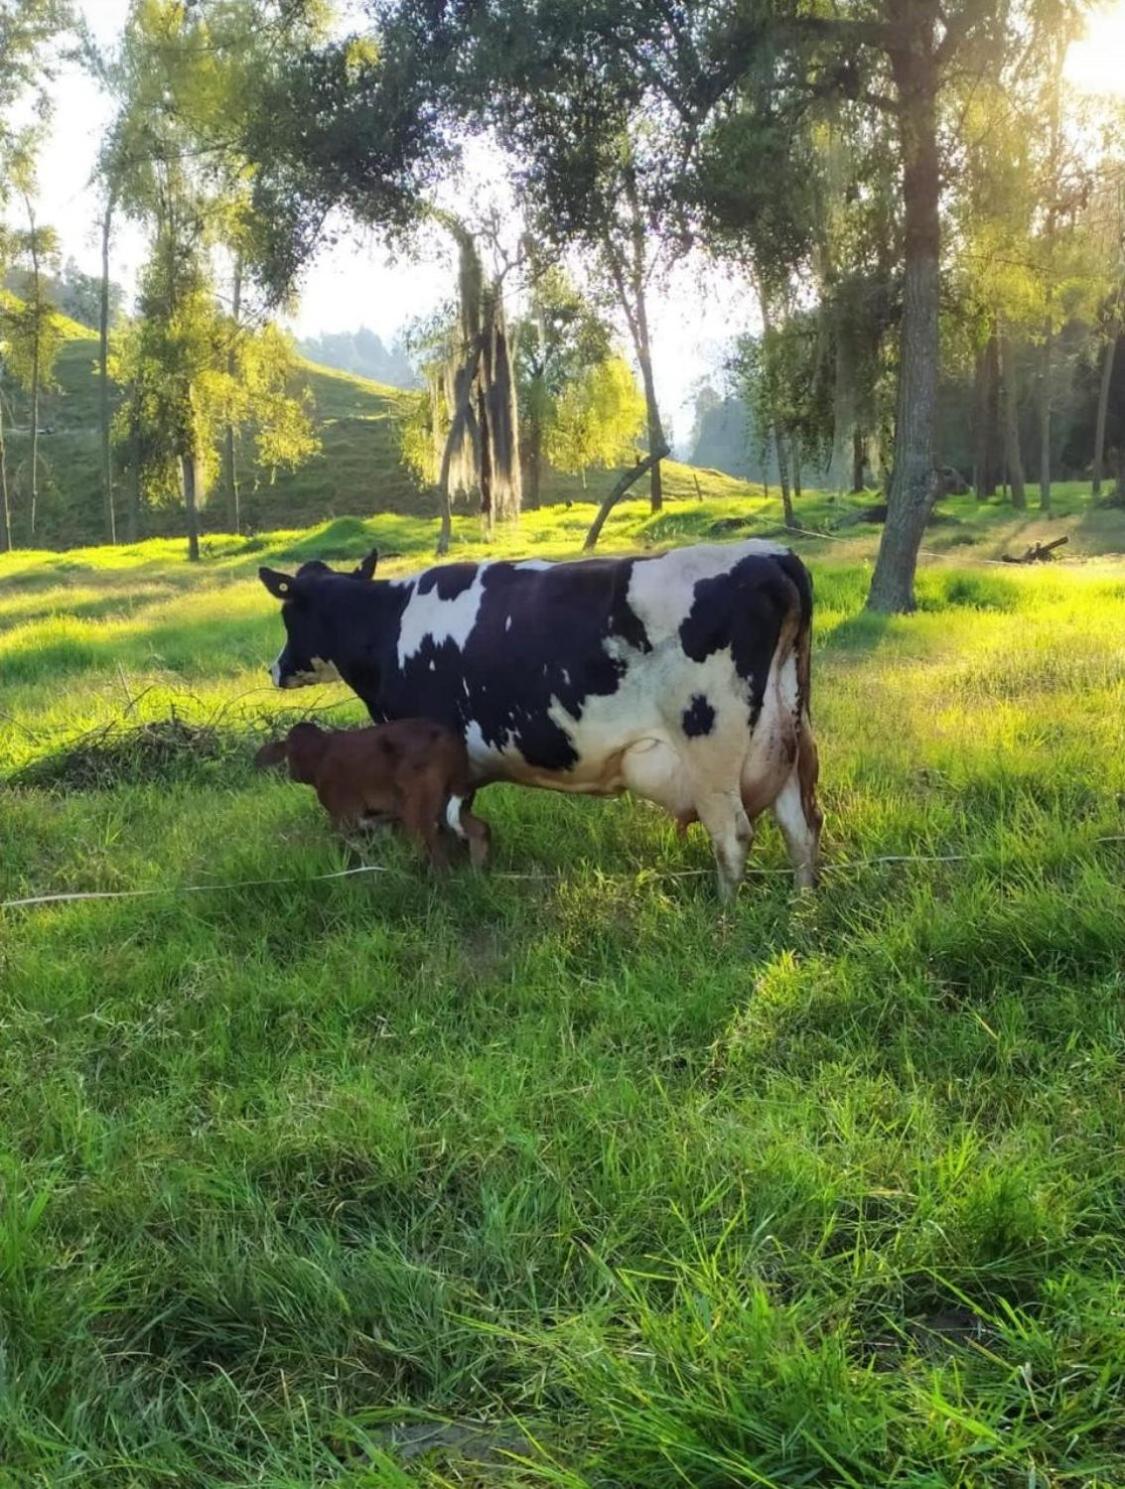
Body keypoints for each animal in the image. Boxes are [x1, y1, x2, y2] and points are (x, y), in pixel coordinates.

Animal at [257, 714, 491, 869]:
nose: (291, 773)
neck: (319, 753)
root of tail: (451, 739)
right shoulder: (379, 817)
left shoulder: (345, 817)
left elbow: (361, 850)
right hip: (445, 797)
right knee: (479, 828)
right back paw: (476, 874)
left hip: (418, 804)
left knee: (434, 846)